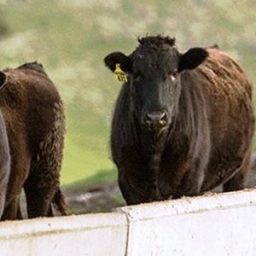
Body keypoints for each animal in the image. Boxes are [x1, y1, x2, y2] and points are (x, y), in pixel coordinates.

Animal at [103, 35, 254, 205]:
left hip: (241, 166)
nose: (156, 117)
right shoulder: (128, 184)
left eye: (174, 73)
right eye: (136, 74)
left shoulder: (190, 182)